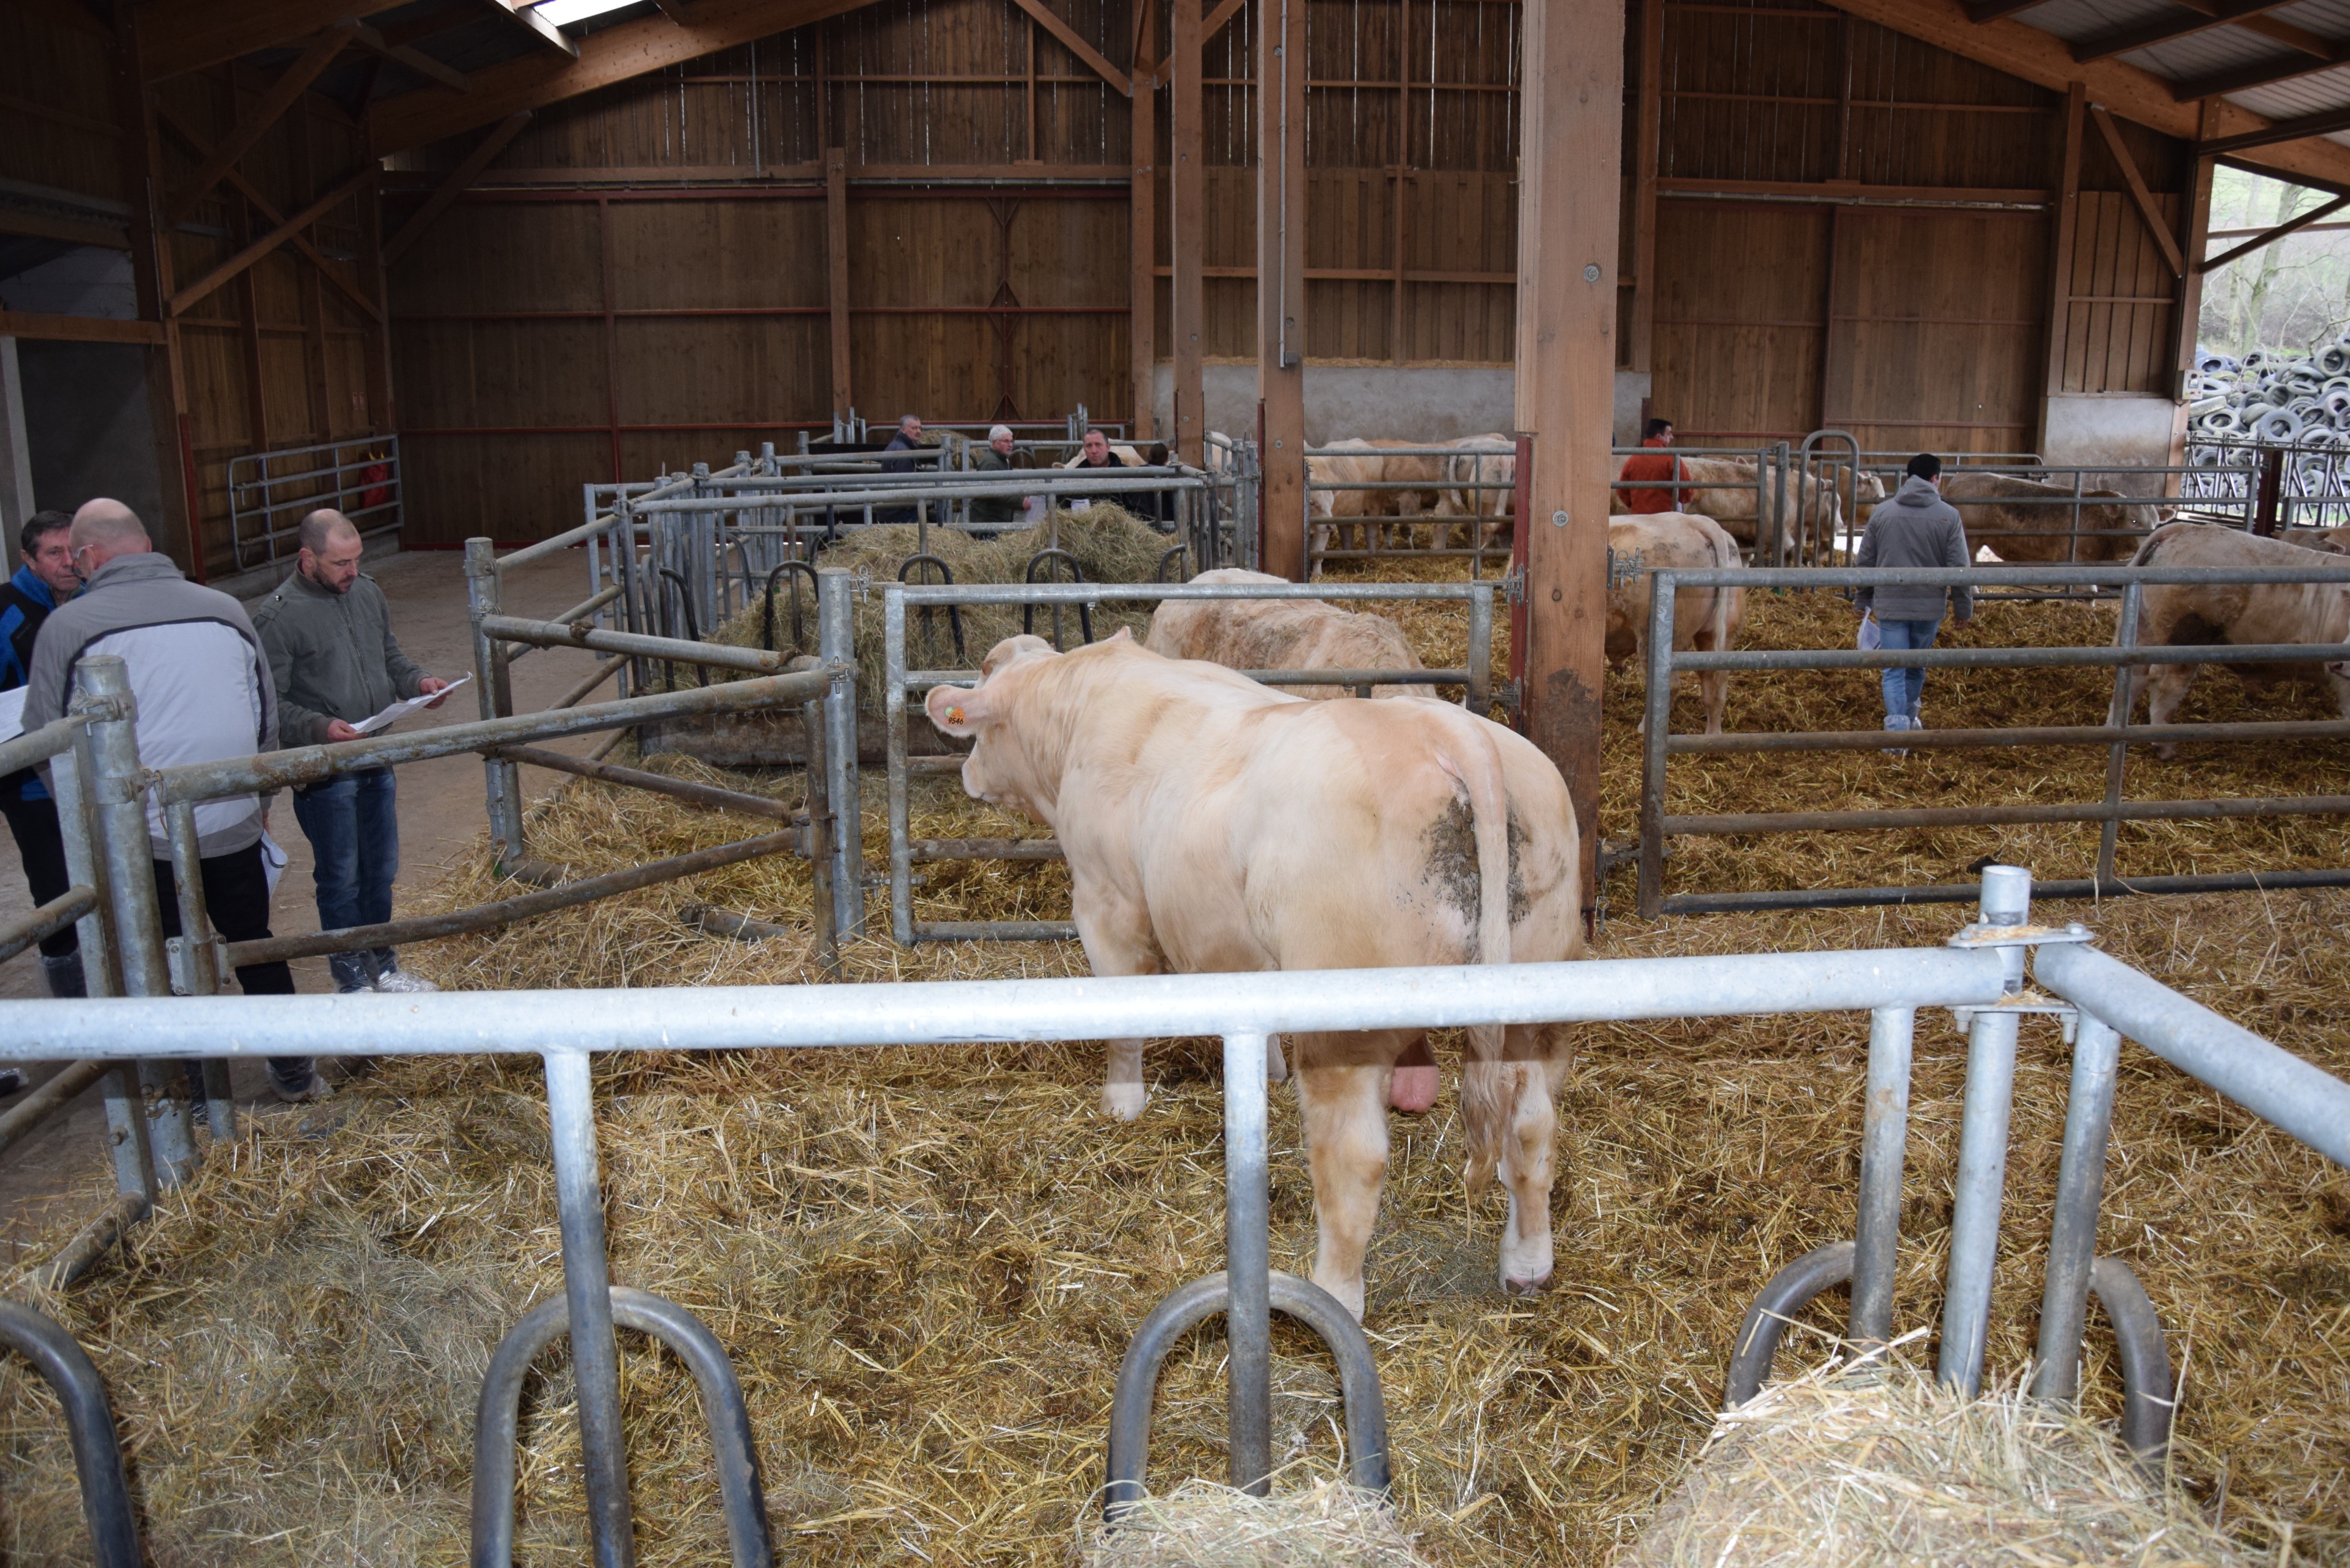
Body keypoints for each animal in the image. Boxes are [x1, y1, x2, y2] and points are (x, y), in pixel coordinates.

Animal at [921, 630, 1579, 1316]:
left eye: (975, 731)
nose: (967, 775)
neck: (1078, 706)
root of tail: (1447, 728)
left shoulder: (1106, 900)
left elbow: (1123, 1013)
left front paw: (1121, 1104)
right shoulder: (1231, 943)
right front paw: (1263, 1070)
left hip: (1343, 1024)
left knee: (1354, 1159)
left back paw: (1334, 1295)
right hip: (1541, 996)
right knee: (1533, 1126)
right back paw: (1526, 1264)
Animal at [1607, 515, 1758, 738]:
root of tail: (1695, 520)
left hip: (1655, 634)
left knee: (1670, 687)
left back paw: (1644, 729)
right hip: (1721, 631)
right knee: (1715, 686)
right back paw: (1712, 736)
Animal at [1927, 472, 2152, 564]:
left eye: (2156, 523)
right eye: (2134, 521)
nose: (2148, 545)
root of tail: (1959, 480)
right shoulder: (2076, 556)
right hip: (1970, 539)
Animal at [2124, 524, 2350, 757]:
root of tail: (2185, 528)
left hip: (2145, 630)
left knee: (2135, 676)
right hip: (2184, 636)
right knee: (2167, 684)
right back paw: (2165, 746)